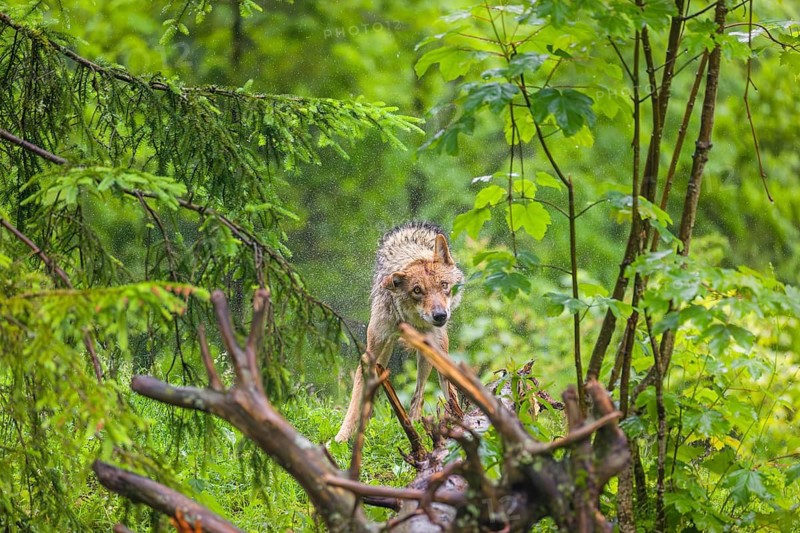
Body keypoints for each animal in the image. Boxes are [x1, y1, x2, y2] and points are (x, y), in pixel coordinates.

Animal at [334, 222, 464, 442]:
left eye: (444, 285)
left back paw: (414, 425)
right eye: (417, 290)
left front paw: (462, 420)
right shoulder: (370, 352)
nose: (440, 315)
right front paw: (341, 438)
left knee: (419, 394)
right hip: (384, 352)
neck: (409, 320)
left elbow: (448, 390)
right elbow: (355, 400)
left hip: (429, 353)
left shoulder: (439, 349)